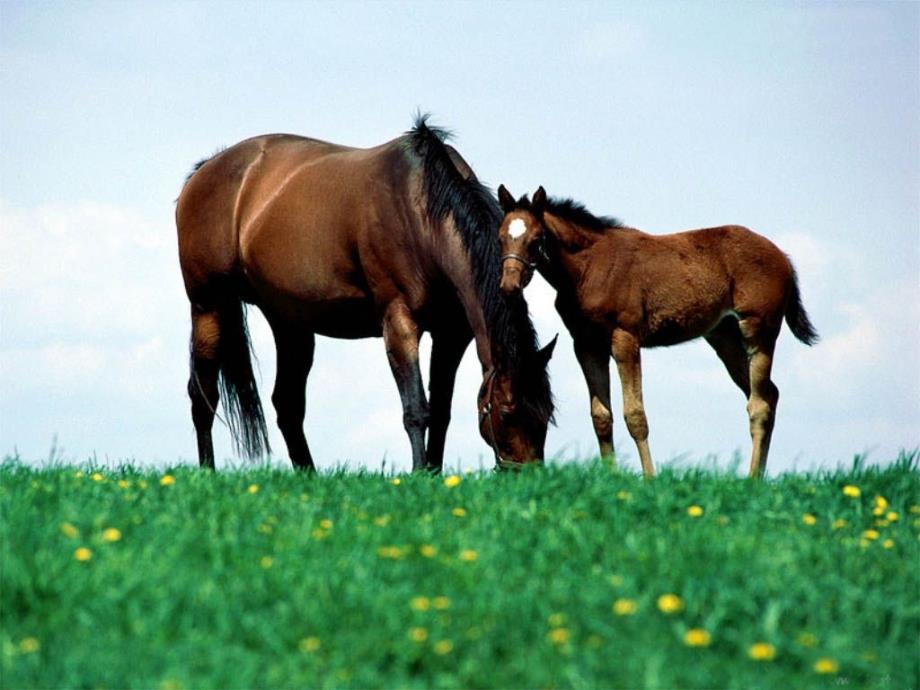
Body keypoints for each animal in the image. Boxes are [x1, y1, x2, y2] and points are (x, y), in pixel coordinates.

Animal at [176, 117, 556, 472]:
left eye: (547, 412)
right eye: (506, 412)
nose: (528, 475)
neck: (420, 212)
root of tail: (203, 171)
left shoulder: (451, 334)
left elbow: (441, 410)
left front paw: (434, 473)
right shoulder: (399, 323)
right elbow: (416, 408)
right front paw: (419, 473)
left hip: (290, 324)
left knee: (287, 404)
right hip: (208, 305)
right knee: (202, 394)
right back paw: (207, 472)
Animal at [492, 185, 816, 478]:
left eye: (535, 240)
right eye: (501, 238)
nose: (508, 286)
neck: (589, 268)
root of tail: (783, 257)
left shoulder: (625, 338)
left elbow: (635, 414)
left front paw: (650, 478)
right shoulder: (586, 344)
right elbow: (601, 417)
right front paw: (610, 478)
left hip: (759, 330)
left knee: (759, 404)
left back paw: (751, 480)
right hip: (724, 336)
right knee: (769, 394)